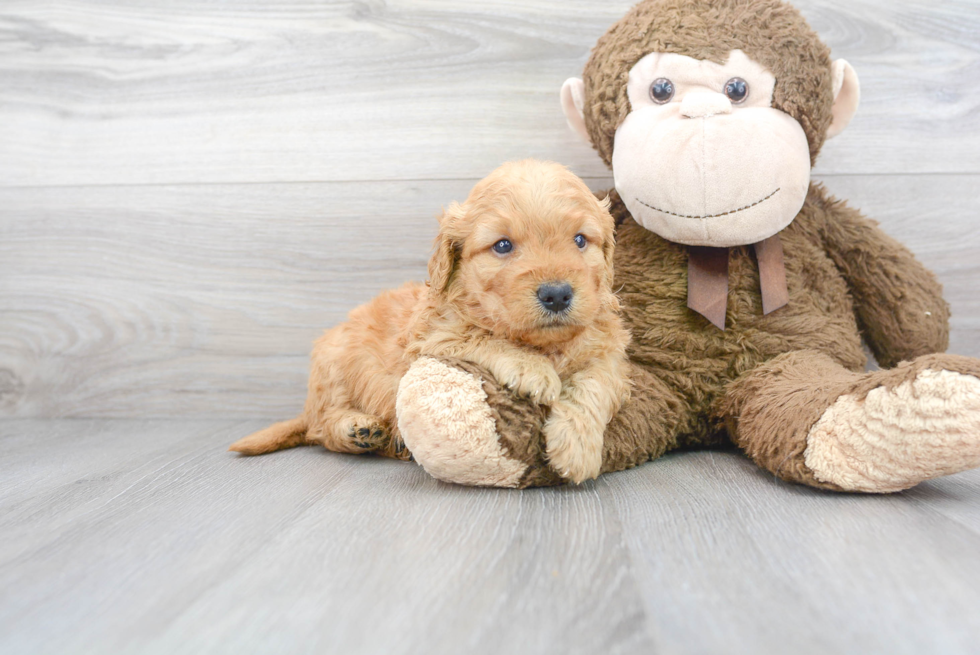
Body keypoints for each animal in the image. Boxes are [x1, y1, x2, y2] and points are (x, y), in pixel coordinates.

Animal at [229, 161, 628, 484]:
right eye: (502, 246)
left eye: (580, 240)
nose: (557, 294)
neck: (545, 343)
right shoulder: (433, 338)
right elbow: (484, 337)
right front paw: (533, 369)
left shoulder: (608, 353)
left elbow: (594, 385)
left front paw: (576, 448)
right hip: (334, 363)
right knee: (320, 426)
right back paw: (356, 429)